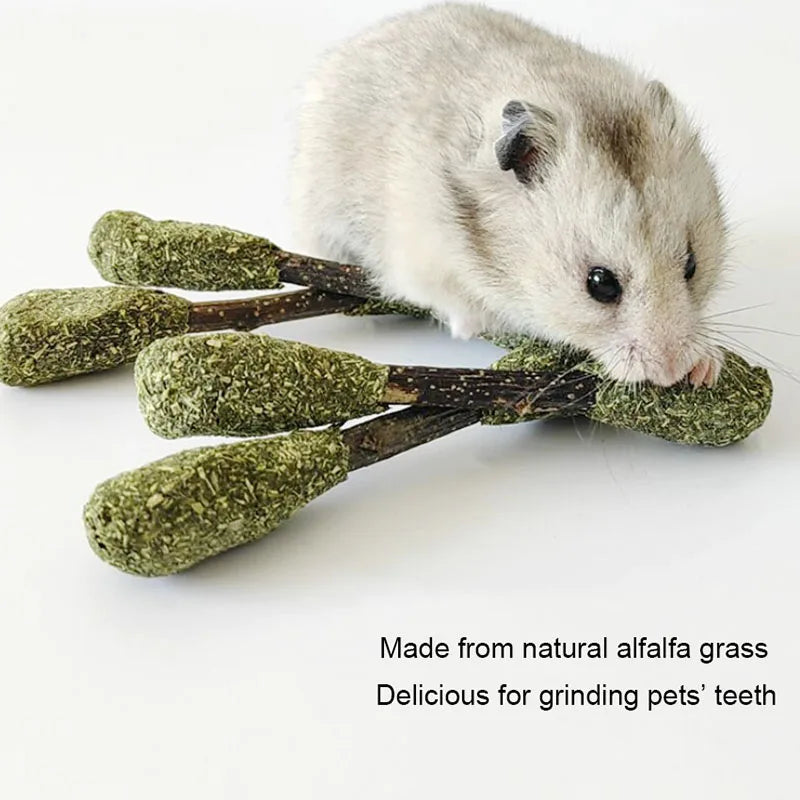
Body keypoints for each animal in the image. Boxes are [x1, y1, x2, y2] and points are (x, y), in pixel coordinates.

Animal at [290, 2, 727, 386]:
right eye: (600, 283)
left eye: (691, 265)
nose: (670, 372)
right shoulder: (418, 260)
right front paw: (474, 326)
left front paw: (706, 366)